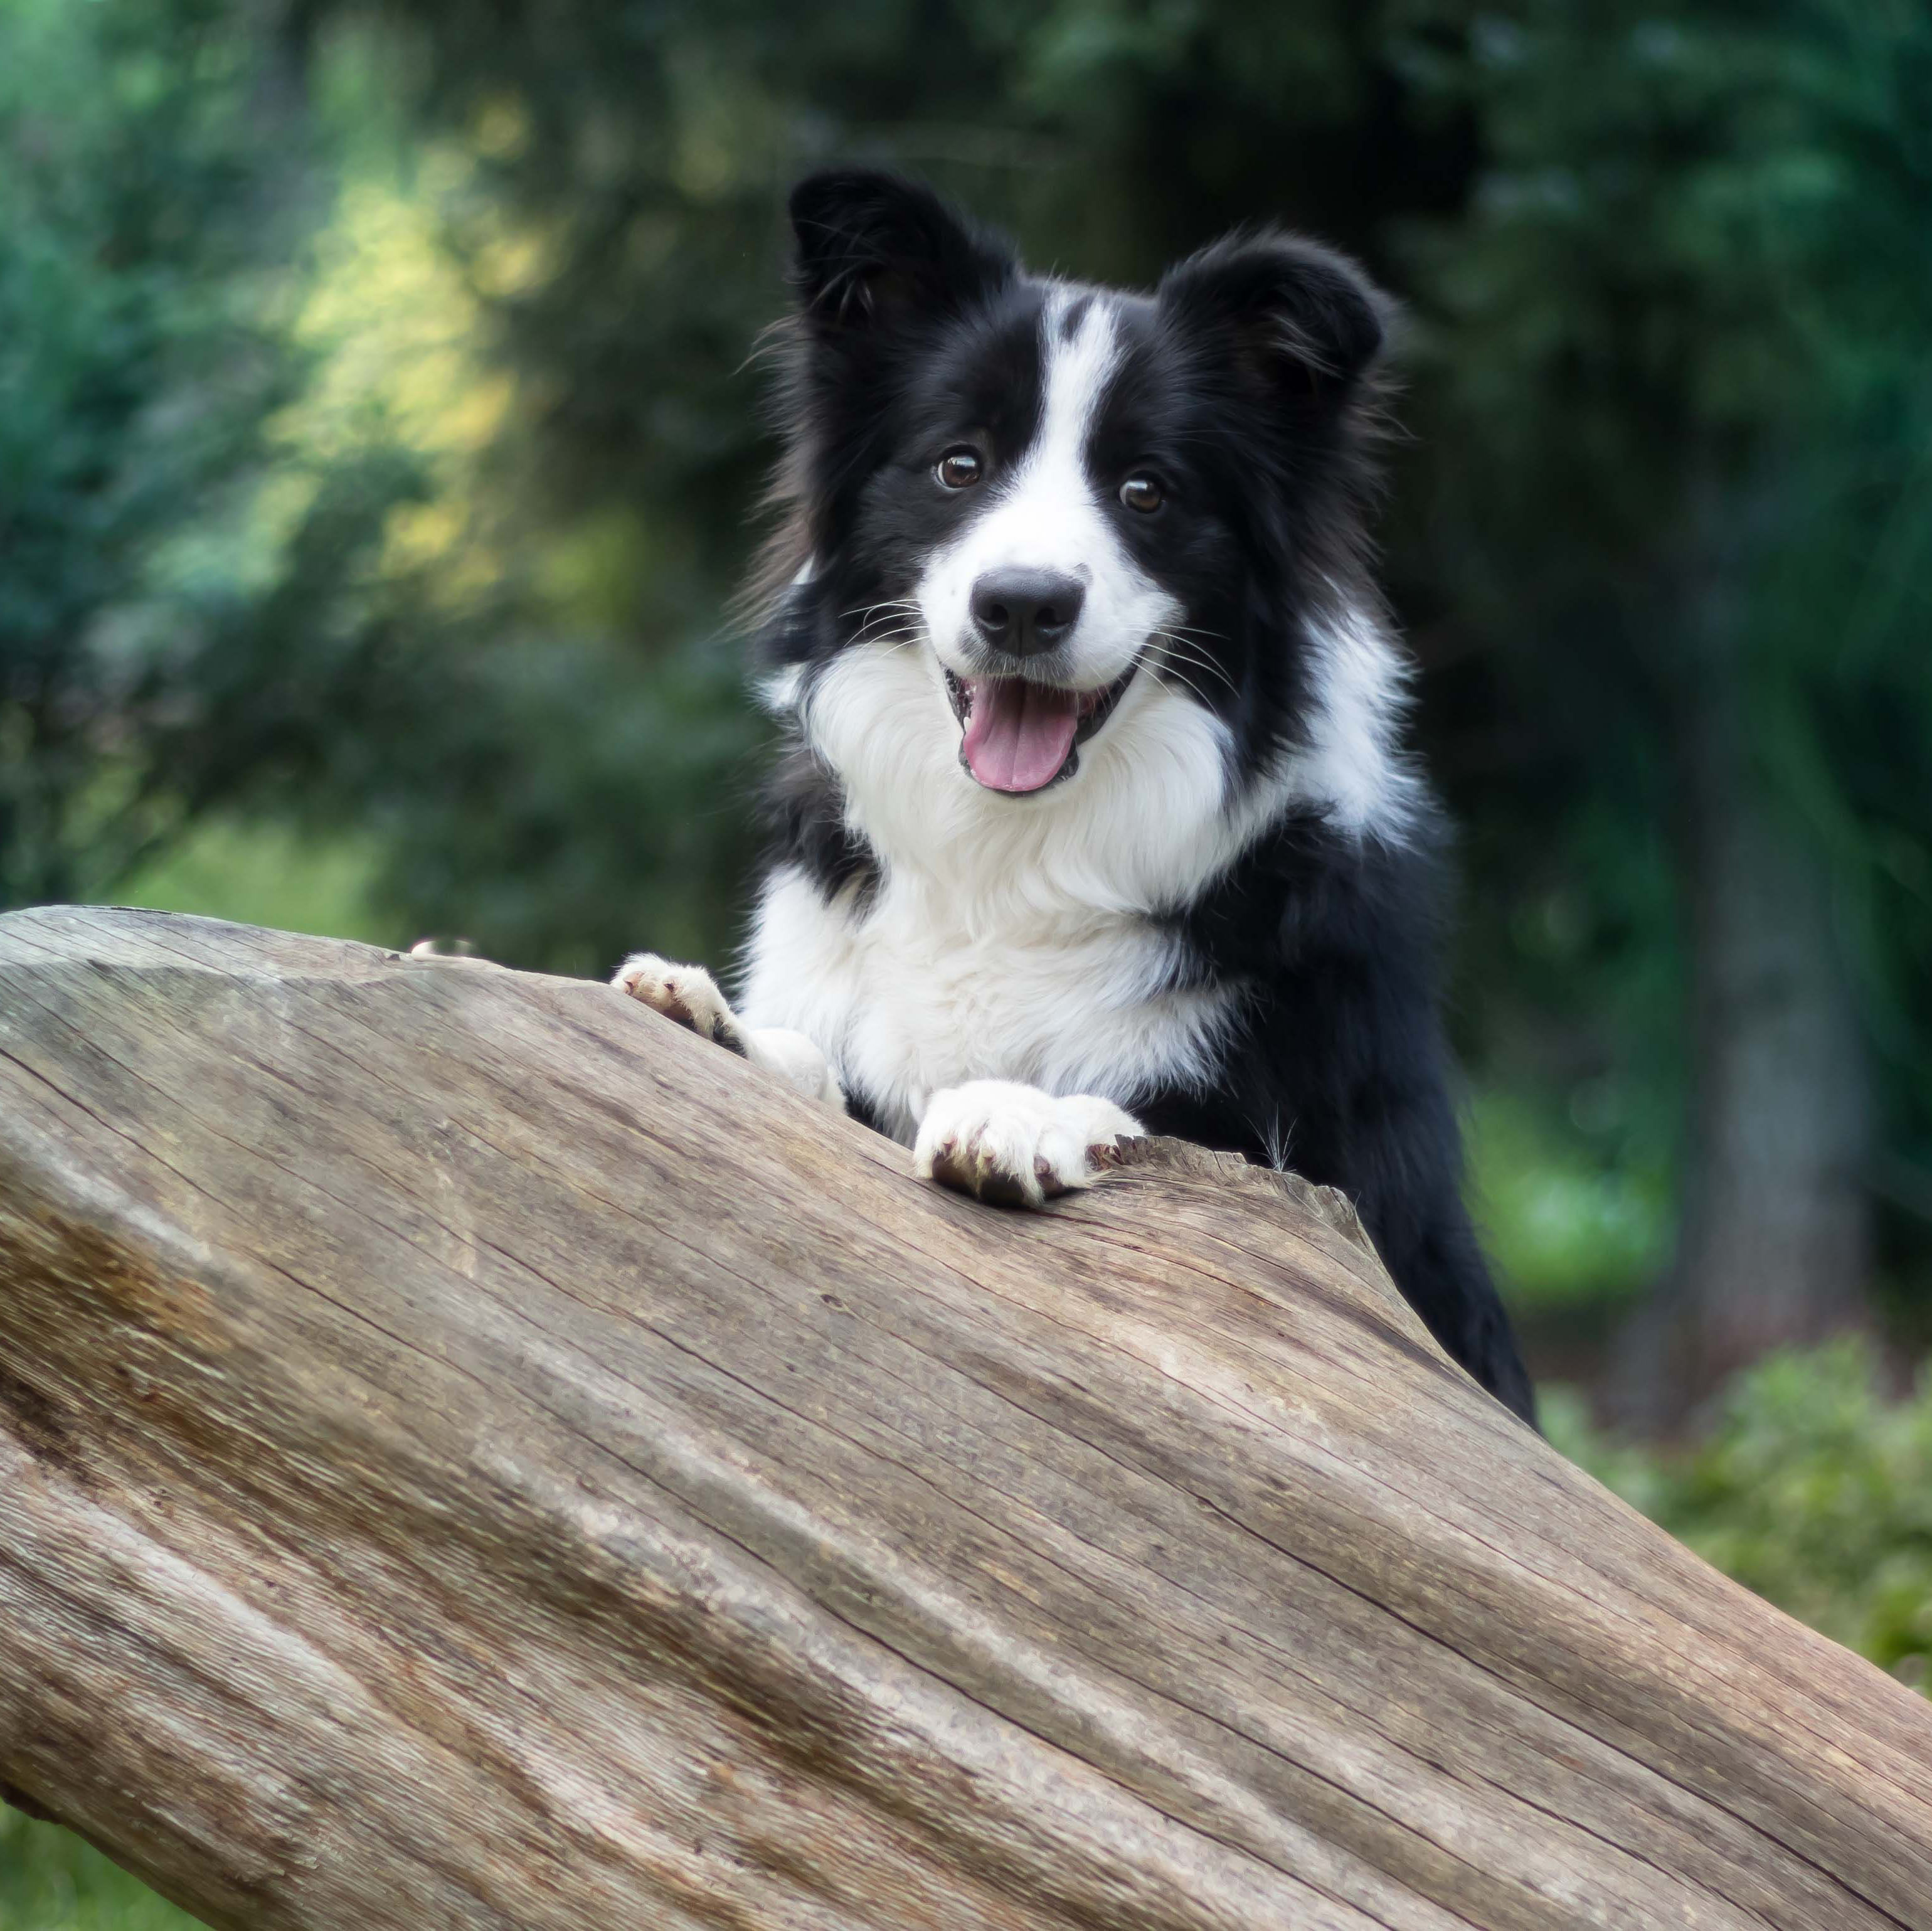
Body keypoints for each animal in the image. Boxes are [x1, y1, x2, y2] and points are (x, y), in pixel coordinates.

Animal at [618, 174, 1537, 1430]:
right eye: (959, 466)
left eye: (1146, 490)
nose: (1022, 605)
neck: (1008, 854)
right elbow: (820, 1072)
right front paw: (714, 1019)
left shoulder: (1347, 1196)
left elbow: (1157, 1135)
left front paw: (1021, 1113)